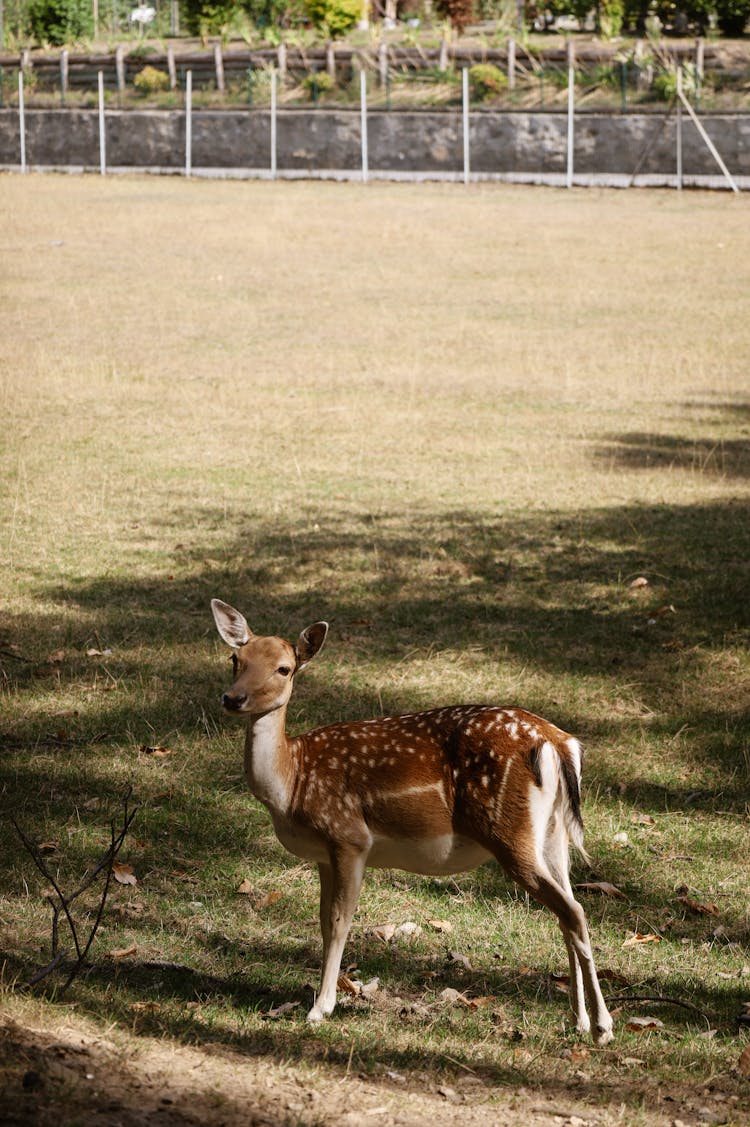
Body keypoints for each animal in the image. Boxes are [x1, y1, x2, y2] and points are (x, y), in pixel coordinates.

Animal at [207, 599, 613, 1045]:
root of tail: (559, 743)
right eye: (236, 659)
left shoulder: (348, 835)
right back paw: (578, 1021)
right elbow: (323, 921)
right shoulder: (324, 855)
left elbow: (339, 921)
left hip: (509, 830)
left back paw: (603, 1028)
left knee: (574, 912)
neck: (292, 781)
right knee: (567, 911)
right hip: (553, 836)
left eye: (284, 668)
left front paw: (320, 1009)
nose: (233, 698)